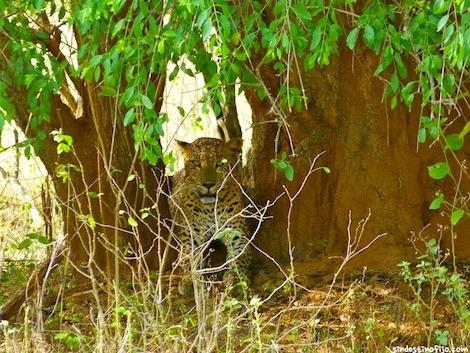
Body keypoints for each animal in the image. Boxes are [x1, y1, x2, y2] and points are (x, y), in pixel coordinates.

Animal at [168, 137, 250, 294]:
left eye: (220, 163)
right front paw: (190, 280)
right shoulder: (191, 238)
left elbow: (239, 258)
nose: (208, 184)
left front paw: (236, 278)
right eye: (196, 163)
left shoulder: (237, 236)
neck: (210, 207)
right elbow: (190, 260)